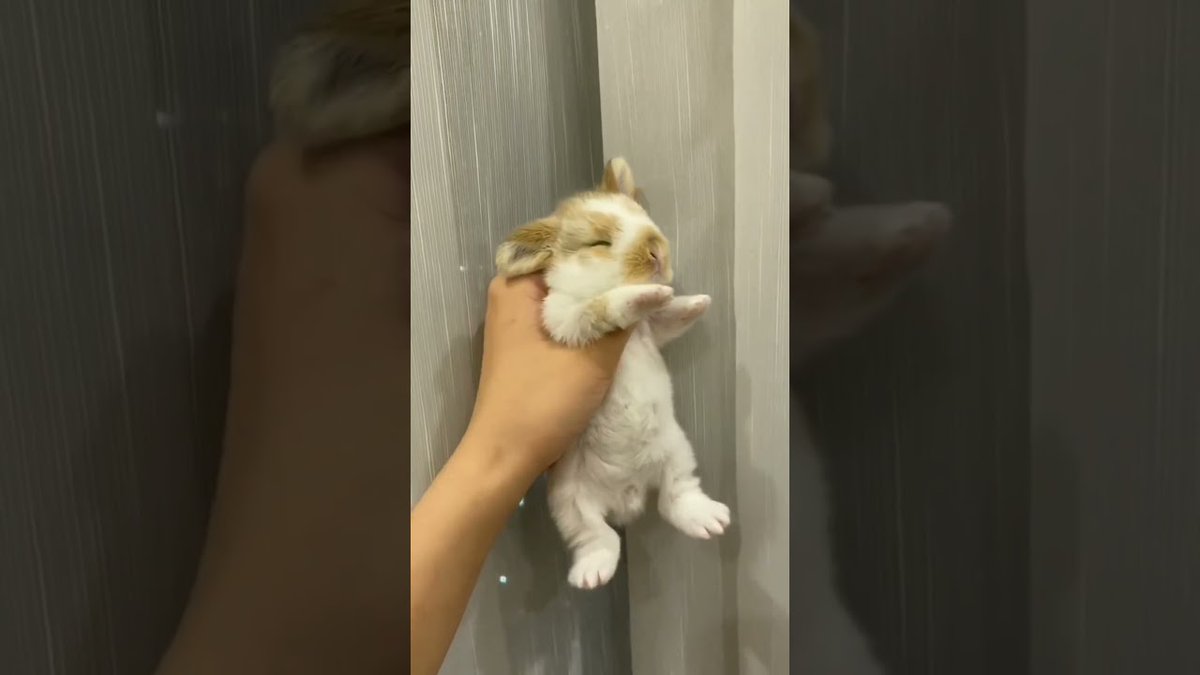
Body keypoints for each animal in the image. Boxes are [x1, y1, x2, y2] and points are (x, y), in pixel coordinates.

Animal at [494, 157, 731, 590]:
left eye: (644, 218)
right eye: (598, 244)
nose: (657, 250)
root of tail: (628, 497)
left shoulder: (653, 333)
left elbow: (669, 319)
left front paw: (695, 301)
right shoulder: (568, 319)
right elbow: (608, 305)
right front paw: (649, 294)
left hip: (677, 453)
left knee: (677, 497)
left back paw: (709, 519)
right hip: (568, 503)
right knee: (597, 538)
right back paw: (591, 574)